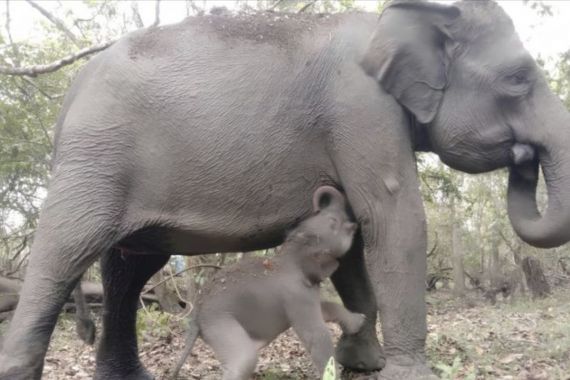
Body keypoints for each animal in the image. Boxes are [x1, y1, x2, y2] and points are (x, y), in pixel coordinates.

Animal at [171, 186, 362, 378]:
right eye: (333, 222)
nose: (317, 204)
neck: (290, 254)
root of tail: (196, 315)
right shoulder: (296, 295)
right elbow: (316, 335)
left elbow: (326, 309)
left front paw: (360, 321)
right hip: (218, 322)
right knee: (244, 358)